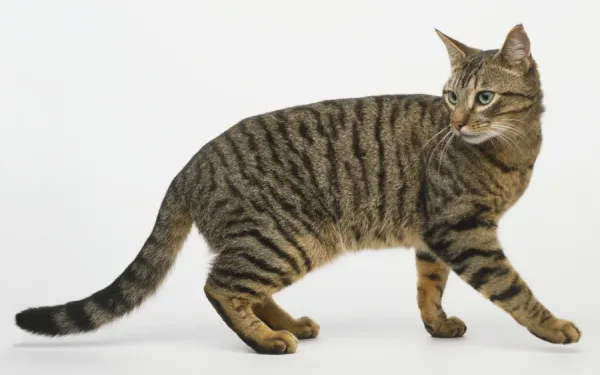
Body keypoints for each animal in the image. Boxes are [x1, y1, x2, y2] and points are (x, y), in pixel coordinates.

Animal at [14, 25, 580, 354]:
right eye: (450, 97)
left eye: (484, 97)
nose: (458, 122)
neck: (514, 149)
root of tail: (186, 169)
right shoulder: (463, 229)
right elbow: (513, 288)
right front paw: (552, 327)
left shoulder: (433, 233)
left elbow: (428, 287)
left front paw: (436, 326)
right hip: (288, 237)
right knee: (220, 286)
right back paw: (267, 340)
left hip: (280, 241)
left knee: (240, 285)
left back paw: (289, 323)